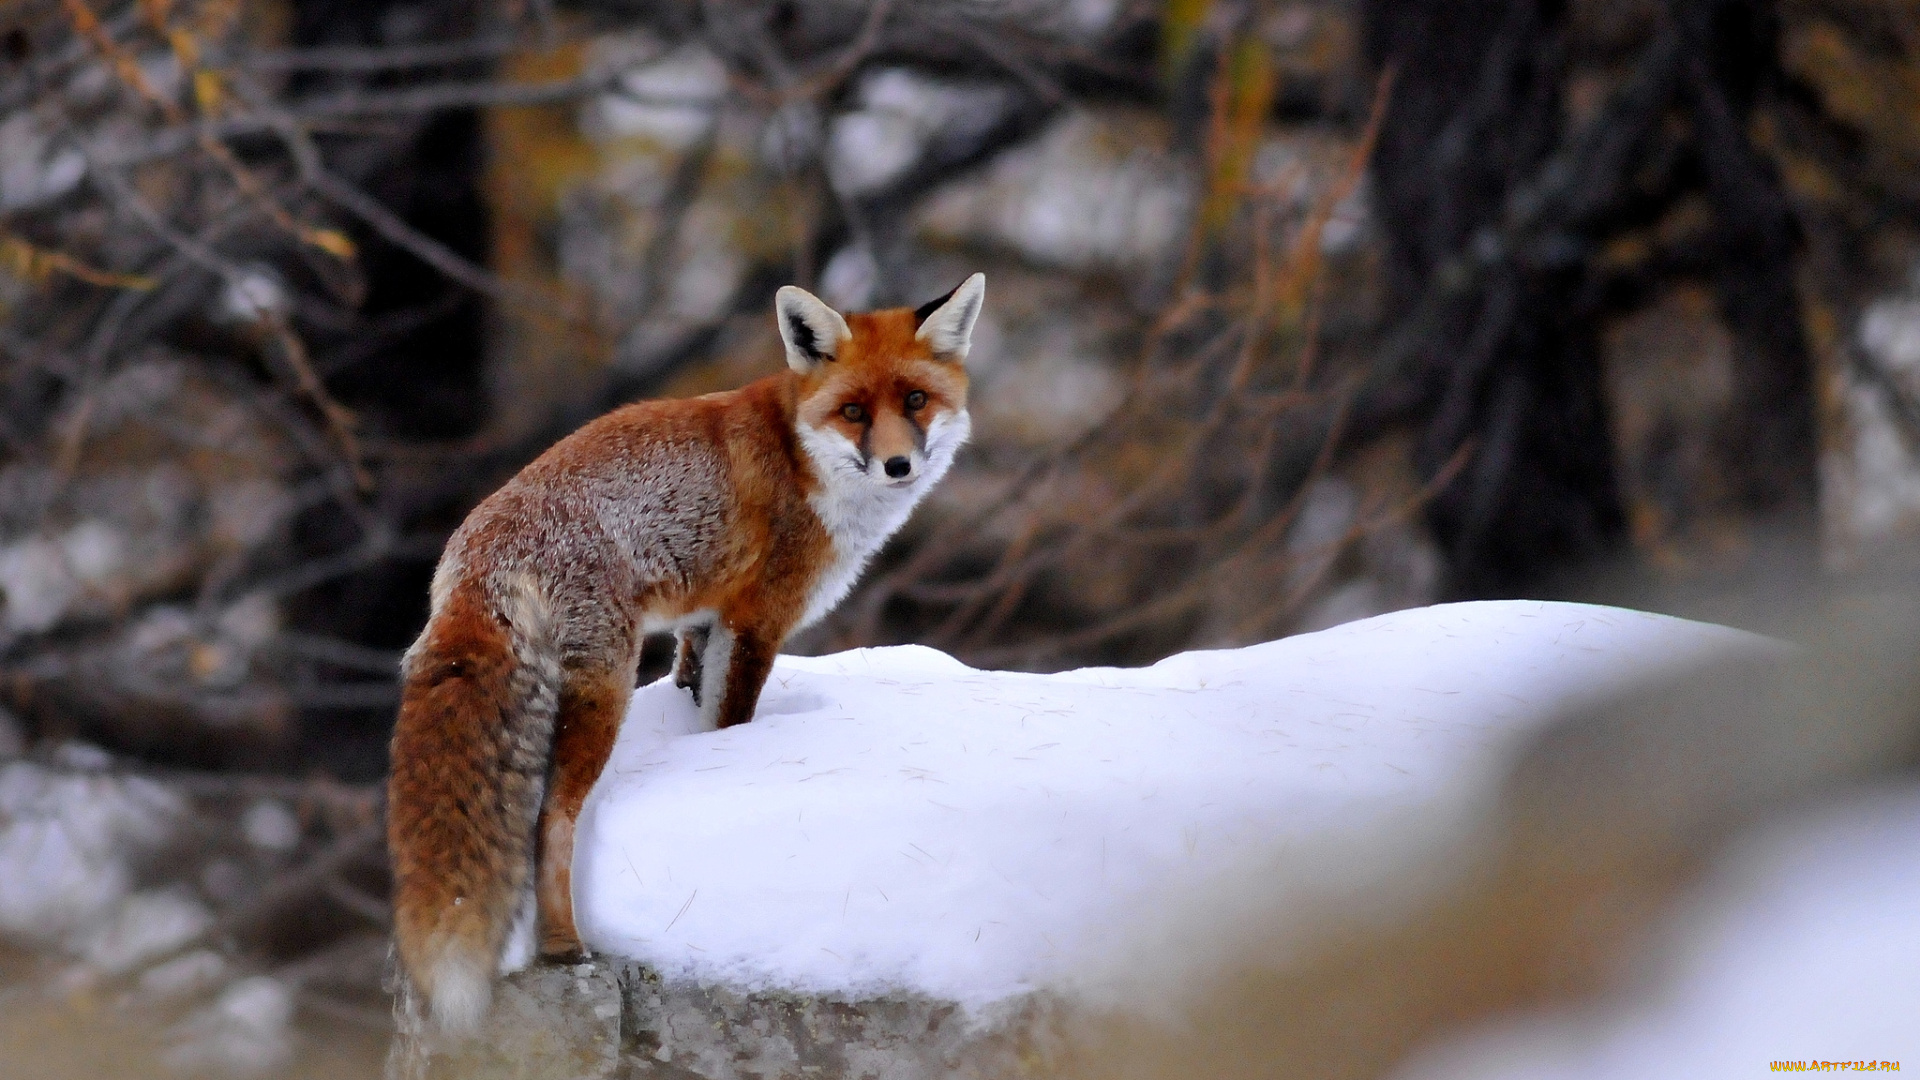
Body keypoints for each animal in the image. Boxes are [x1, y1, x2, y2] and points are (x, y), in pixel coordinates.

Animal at [389, 269, 990, 1022]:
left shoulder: (702, 623)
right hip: (604, 690)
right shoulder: (756, 620)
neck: (800, 457)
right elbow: (729, 723)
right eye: (853, 411)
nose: (898, 464)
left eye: (914, 400)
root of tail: (479, 552)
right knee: (550, 821)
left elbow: (691, 697)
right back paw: (563, 947)